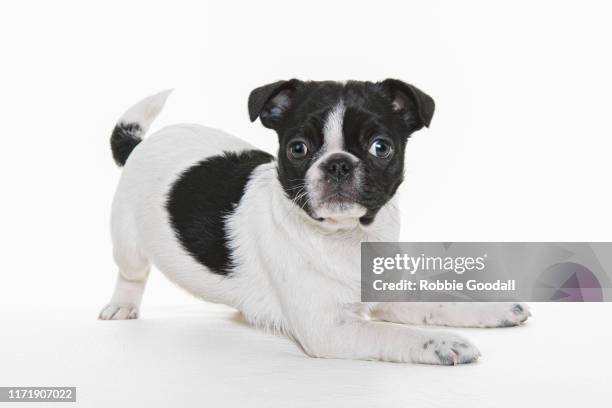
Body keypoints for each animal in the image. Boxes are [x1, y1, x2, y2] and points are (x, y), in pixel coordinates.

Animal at [100, 79, 532, 364]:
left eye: (381, 147)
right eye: (298, 148)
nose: (338, 163)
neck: (346, 238)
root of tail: (140, 143)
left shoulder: (386, 293)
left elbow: (438, 303)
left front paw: (493, 309)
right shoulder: (331, 329)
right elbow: (393, 332)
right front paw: (440, 344)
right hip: (128, 242)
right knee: (131, 274)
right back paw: (121, 306)